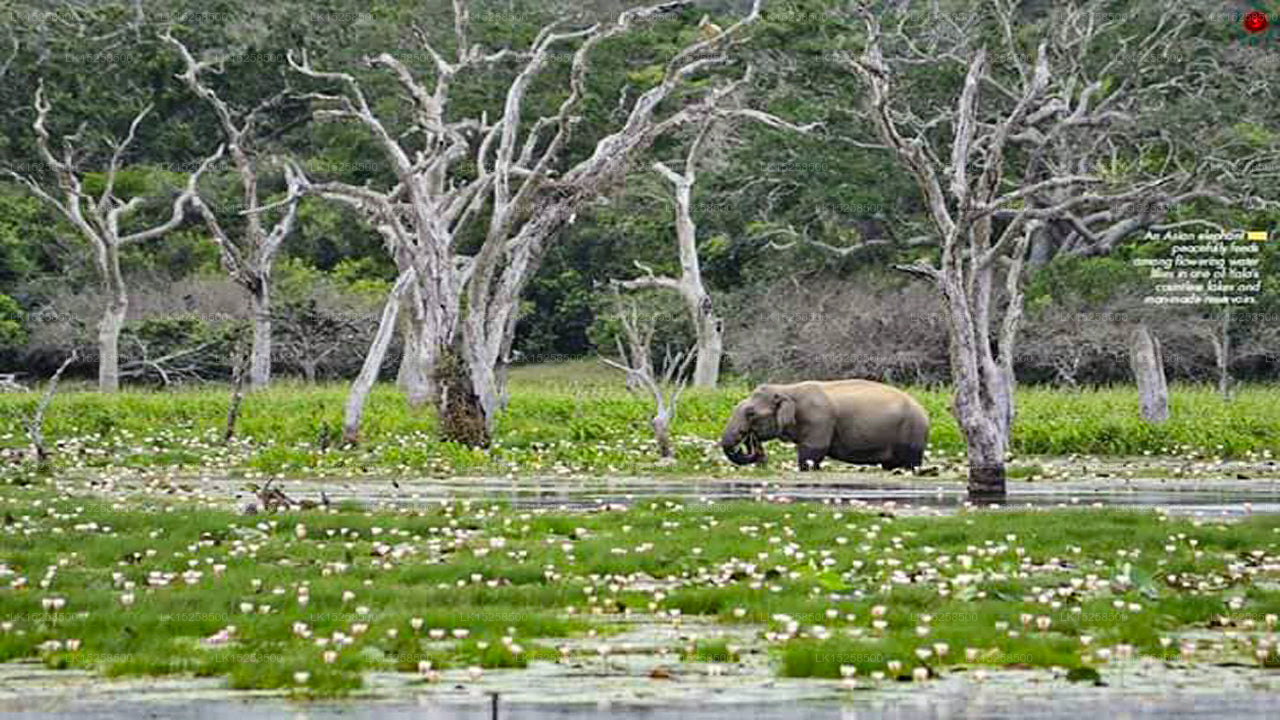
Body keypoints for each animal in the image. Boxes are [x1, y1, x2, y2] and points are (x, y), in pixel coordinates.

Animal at [721, 376, 931, 471]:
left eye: (750, 413)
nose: (761, 458)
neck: (787, 389)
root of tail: (924, 411)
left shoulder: (818, 420)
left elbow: (812, 452)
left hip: (912, 432)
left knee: (910, 462)